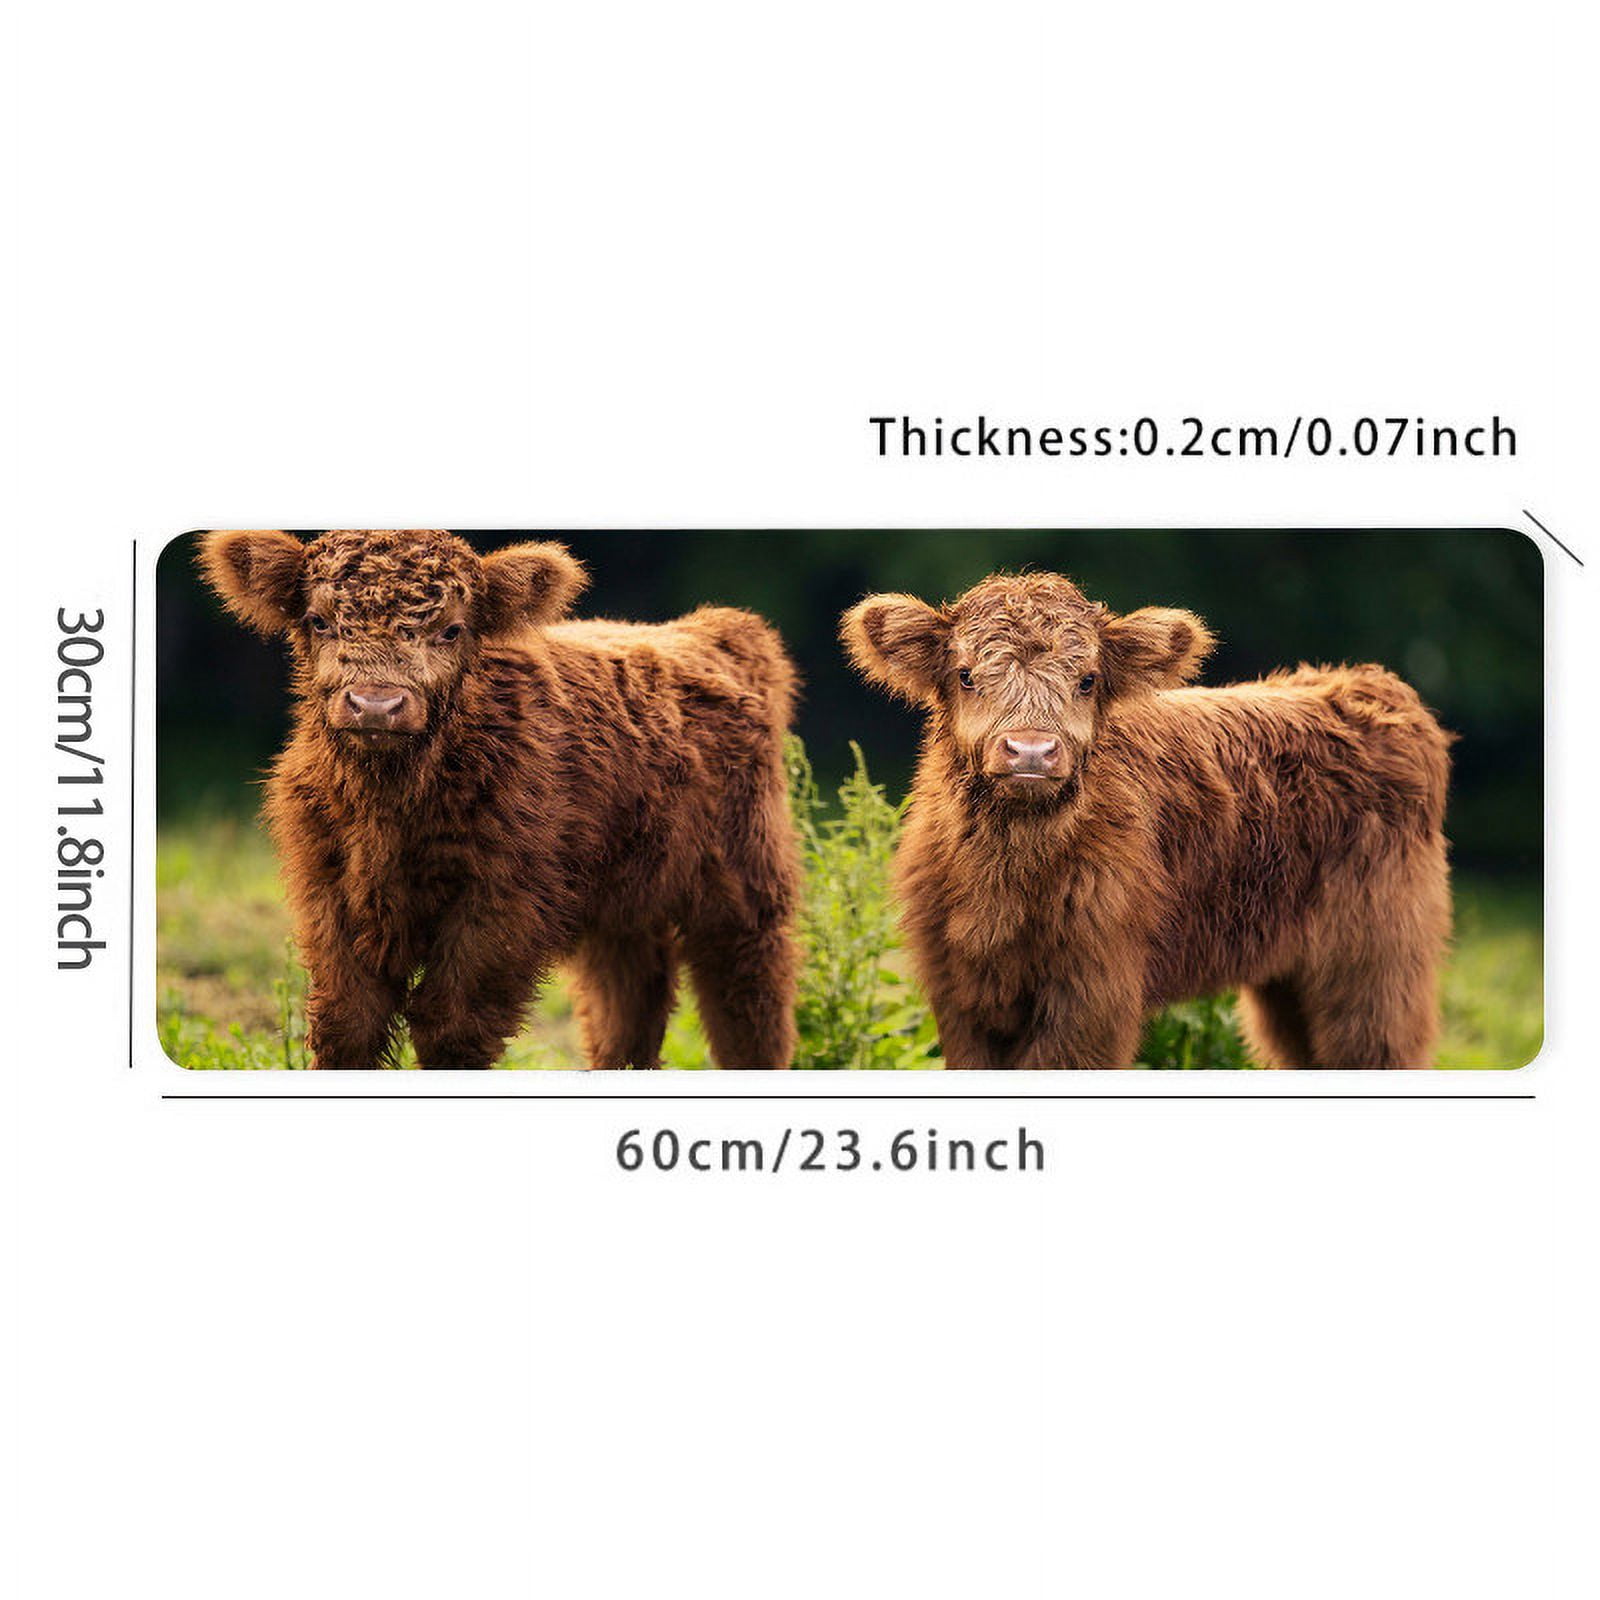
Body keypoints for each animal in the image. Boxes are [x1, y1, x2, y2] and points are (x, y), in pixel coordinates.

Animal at [199, 529, 801, 1069]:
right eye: (319, 620)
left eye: (452, 629)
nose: (375, 704)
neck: (390, 804)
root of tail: (714, 630)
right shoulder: (328, 889)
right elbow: (348, 1025)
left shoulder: (503, 903)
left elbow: (450, 1028)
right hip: (623, 906)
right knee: (627, 1009)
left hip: (744, 887)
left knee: (748, 1006)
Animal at [842, 571, 1452, 1068]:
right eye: (966, 675)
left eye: (1087, 680)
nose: (1032, 751)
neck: (1008, 882)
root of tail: (1365, 684)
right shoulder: (958, 992)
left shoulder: (1094, 995)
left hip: (1375, 965)